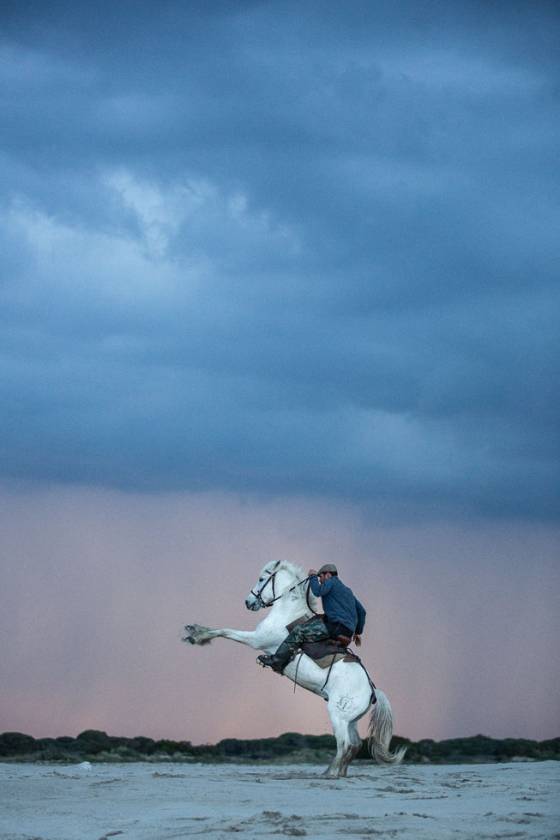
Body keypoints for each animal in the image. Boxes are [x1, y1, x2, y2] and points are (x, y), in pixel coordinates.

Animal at [184, 560, 406, 776]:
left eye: (262, 579)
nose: (248, 602)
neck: (287, 612)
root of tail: (372, 691)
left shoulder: (256, 639)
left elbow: (225, 631)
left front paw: (195, 635)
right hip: (350, 720)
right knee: (354, 746)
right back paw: (337, 773)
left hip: (338, 716)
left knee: (344, 745)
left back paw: (330, 774)